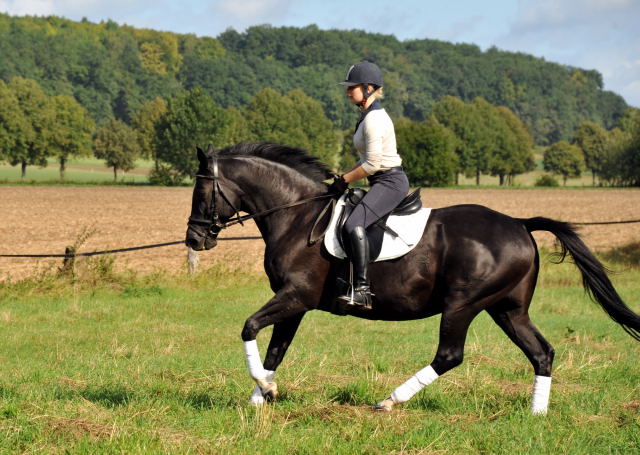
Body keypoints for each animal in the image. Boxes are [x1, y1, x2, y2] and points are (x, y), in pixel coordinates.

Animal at [185, 144, 640, 416]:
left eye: (201, 192)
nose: (194, 239)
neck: (296, 215)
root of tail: (519, 224)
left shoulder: (296, 295)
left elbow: (249, 328)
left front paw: (264, 391)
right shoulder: (294, 302)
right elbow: (275, 350)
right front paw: (260, 398)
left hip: (464, 304)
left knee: (450, 355)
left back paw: (389, 401)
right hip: (508, 309)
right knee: (541, 352)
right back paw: (536, 414)